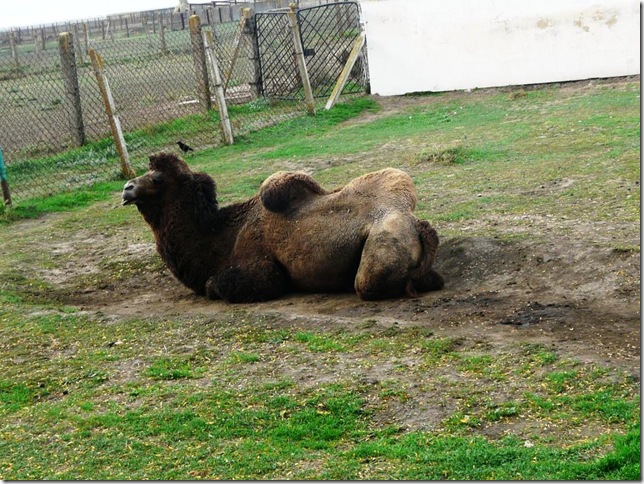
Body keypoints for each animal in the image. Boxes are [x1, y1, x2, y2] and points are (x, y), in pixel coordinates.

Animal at [122, 153, 444, 303]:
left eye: (157, 178)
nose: (127, 188)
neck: (224, 238)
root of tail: (417, 224)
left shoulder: (261, 269)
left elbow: (217, 285)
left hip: (381, 249)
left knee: (367, 283)